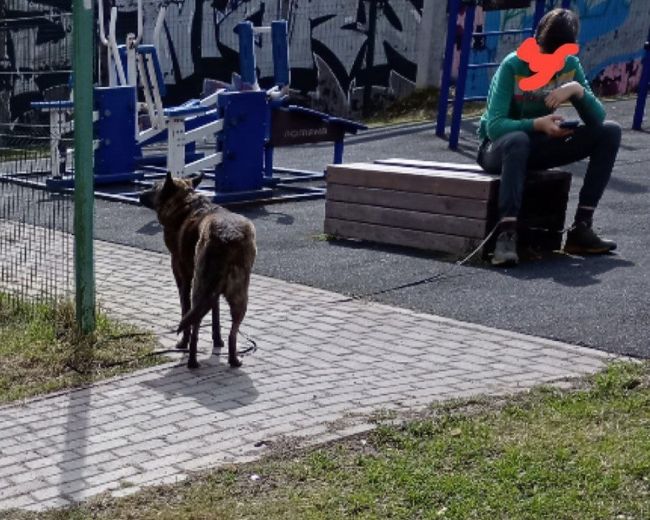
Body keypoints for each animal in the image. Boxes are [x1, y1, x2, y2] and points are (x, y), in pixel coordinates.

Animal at [139, 173, 256, 368]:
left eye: (154, 187)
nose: (139, 194)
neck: (186, 202)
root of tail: (227, 236)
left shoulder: (183, 278)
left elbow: (185, 311)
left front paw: (183, 342)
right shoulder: (213, 291)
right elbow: (215, 313)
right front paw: (217, 340)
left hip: (198, 288)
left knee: (195, 325)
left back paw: (192, 360)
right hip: (239, 295)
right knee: (232, 333)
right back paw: (233, 359)